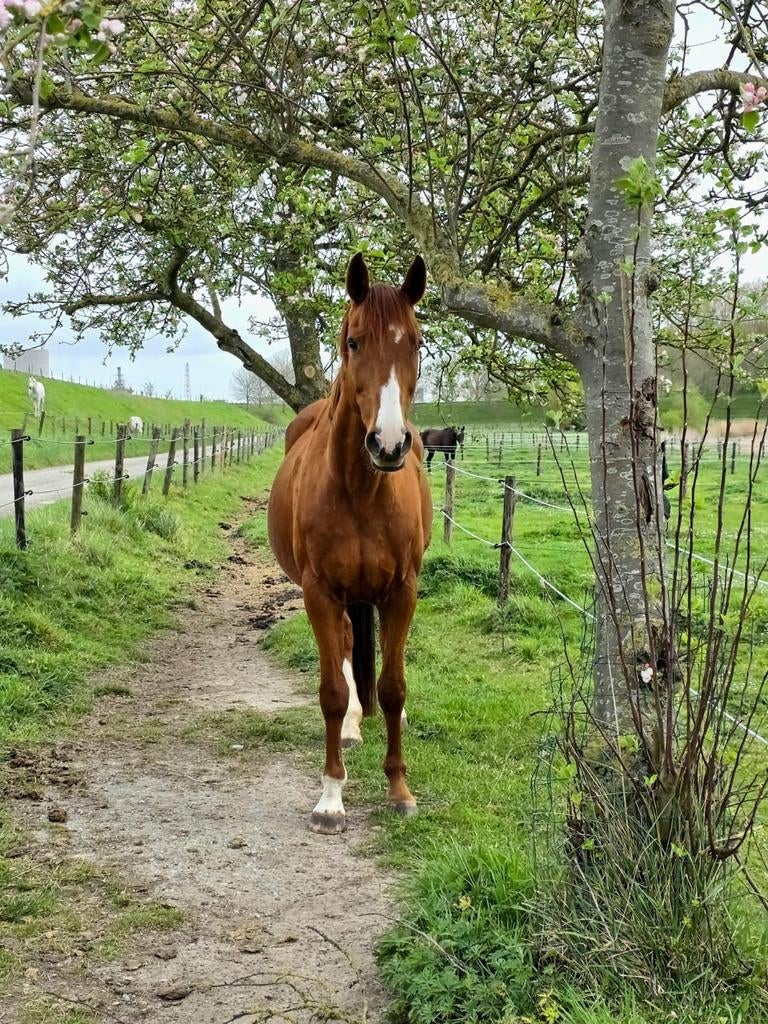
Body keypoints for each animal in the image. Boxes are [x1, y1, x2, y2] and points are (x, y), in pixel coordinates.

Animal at [268, 253, 432, 835]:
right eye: (355, 342)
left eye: (416, 343)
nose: (389, 444)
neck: (361, 488)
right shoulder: (320, 593)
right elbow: (333, 693)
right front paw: (331, 798)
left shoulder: (402, 592)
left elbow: (394, 686)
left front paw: (400, 790)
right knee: (343, 650)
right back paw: (354, 727)